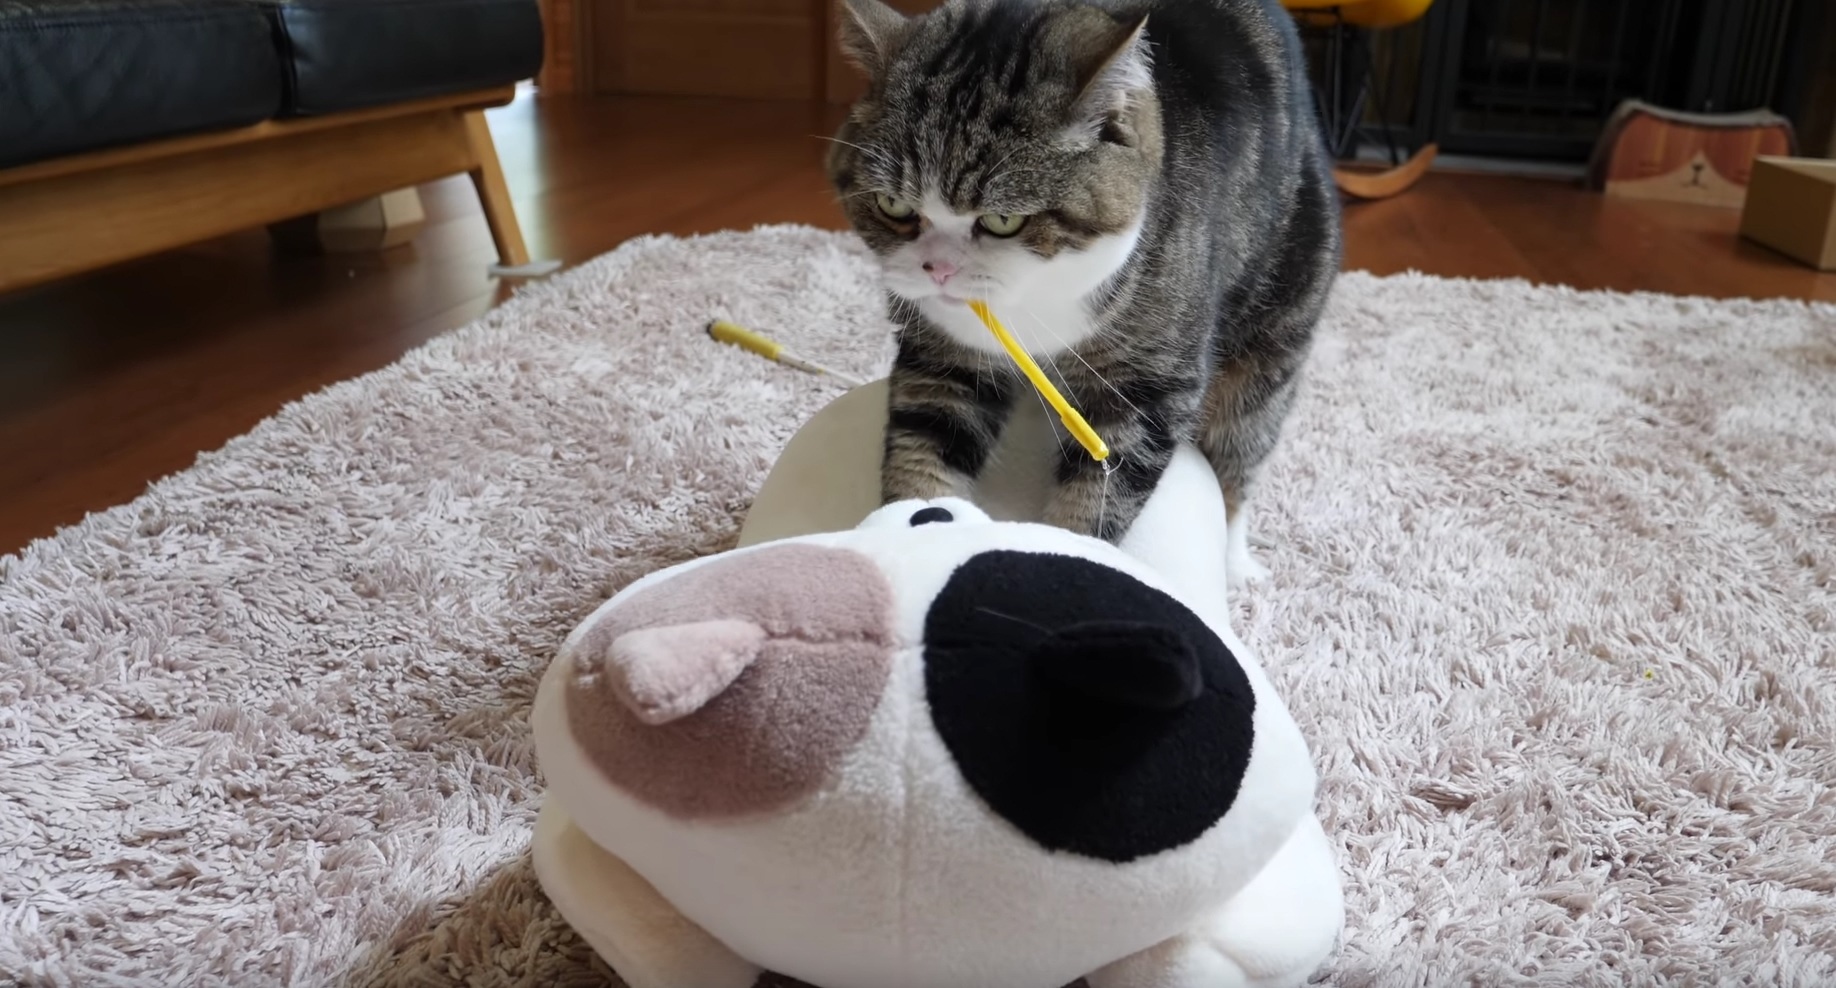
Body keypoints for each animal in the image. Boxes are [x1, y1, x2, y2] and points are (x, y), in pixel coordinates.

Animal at [829, 0, 1336, 576]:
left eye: (1003, 219)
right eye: (893, 206)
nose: (937, 269)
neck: (1032, 302)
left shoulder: (1146, 381)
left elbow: (1102, 488)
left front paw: (1070, 553)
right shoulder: (942, 355)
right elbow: (926, 441)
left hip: (1278, 319)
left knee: (1240, 449)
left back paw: (1235, 561)